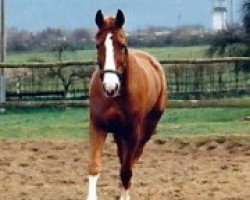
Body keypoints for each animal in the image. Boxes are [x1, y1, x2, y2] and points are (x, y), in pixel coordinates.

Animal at [87, 9, 167, 200]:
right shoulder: (98, 126)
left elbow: (126, 171)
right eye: (98, 46)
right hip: (118, 133)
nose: (110, 86)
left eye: (122, 45)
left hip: (147, 129)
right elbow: (94, 166)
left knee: (131, 162)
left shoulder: (132, 133)